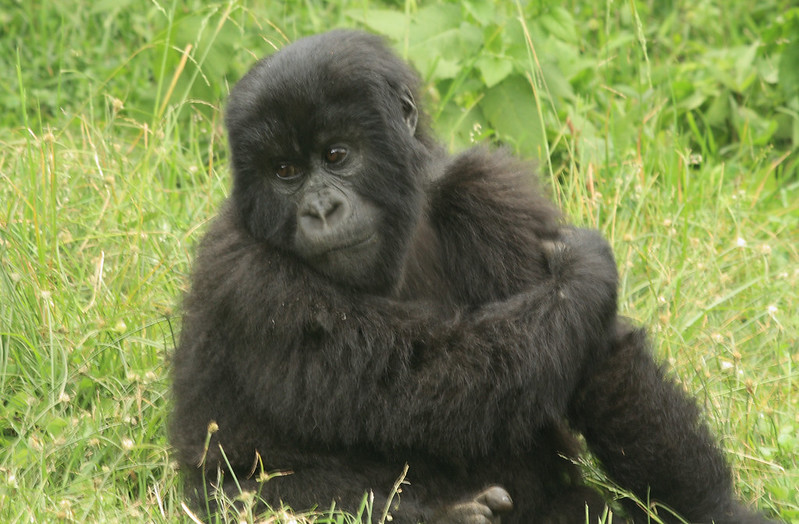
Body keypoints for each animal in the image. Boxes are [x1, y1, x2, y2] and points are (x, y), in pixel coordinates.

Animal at [170, 29, 776, 524]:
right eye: (285, 172)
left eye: (336, 155)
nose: (320, 210)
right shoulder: (246, 275)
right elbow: (422, 383)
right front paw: (582, 279)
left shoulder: (487, 189)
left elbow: (603, 360)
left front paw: (714, 509)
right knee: (258, 499)